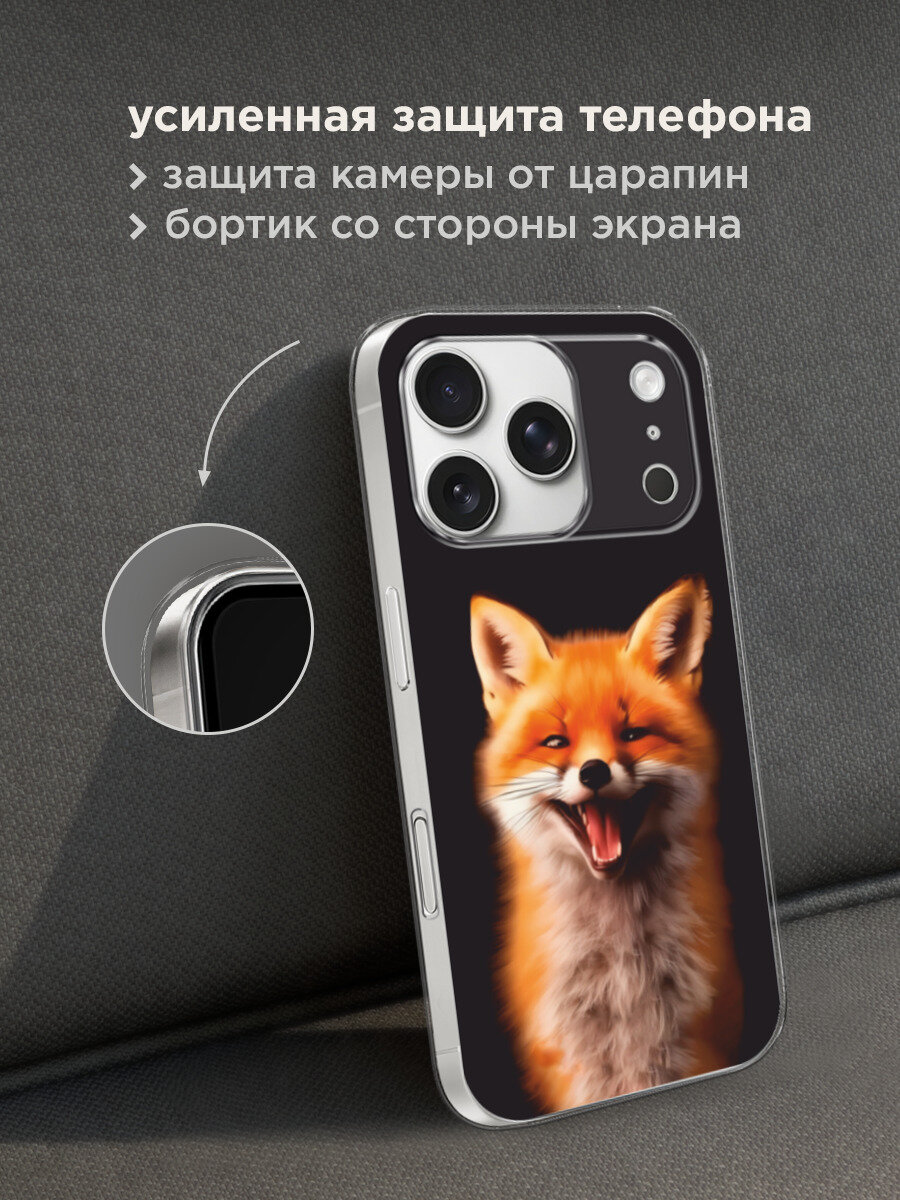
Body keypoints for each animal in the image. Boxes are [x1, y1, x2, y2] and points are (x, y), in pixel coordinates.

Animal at [470, 576, 743, 1113]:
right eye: (556, 742)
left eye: (633, 734)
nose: (594, 771)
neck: (622, 972)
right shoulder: (572, 1061)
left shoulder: (689, 1042)